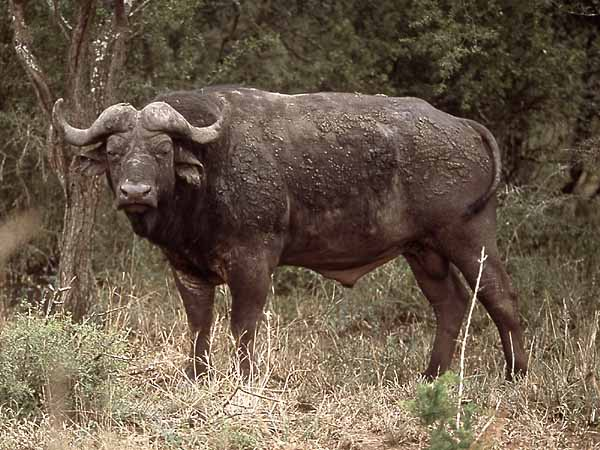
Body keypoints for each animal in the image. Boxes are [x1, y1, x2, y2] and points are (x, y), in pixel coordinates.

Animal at [54, 85, 528, 380]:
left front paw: (244, 379)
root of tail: (464, 126)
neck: (209, 176)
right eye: (115, 151)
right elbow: (199, 324)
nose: (135, 191)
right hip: (423, 251)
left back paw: (515, 375)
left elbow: (243, 325)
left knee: (500, 297)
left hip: (468, 235)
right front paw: (197, 375)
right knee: (450, 304)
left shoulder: (253, 264)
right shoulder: (186, 268)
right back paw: (431, 376)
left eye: (162, 149)